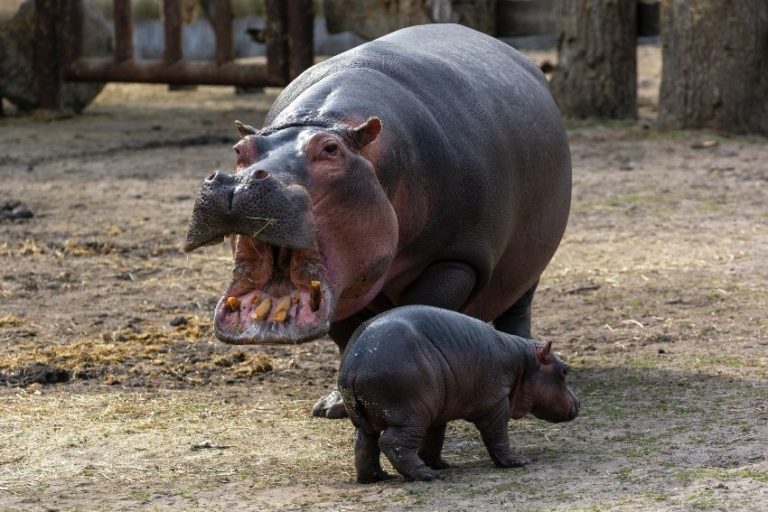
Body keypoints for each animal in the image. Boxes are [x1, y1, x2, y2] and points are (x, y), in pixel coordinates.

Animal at [184, 24, 572, 418]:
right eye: (240, 150)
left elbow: (419, 309)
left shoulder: (458, 259)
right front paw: (334, 406)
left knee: (518, 307)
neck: (329, 123)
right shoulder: (346, 281)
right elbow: (345, 334)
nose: (242, 181)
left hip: (530, 259)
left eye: (330, 150)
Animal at [339, 306, 579, 482]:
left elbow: (435, 438)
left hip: (374, 418)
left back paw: (378, 477)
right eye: (565, 370)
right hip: (409, 415)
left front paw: (440, 464)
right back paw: (426, 475)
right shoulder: (495, 403)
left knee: (364, 443)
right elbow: (498, 436)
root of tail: (354, 364)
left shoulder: (438, 414)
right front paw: (517, 461)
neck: (524, 363)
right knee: (393, 443)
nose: (578, 402)